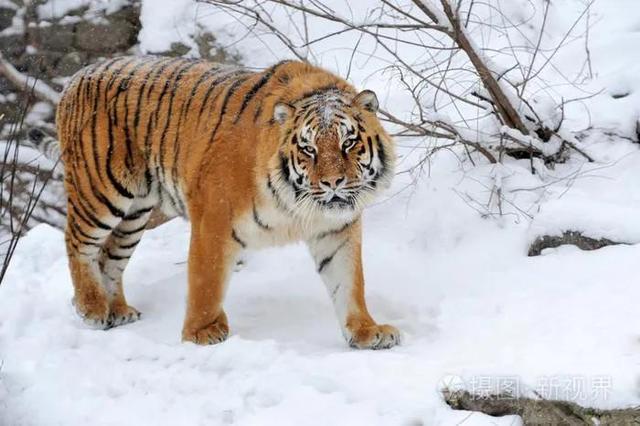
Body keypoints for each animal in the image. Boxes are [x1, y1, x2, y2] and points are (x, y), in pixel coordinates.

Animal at [45, 55, 398, 350]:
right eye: (308, 149)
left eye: (348, 143)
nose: (332, 183)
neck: (298, 205)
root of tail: (77, 76)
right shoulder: (213, 219)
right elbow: (206, 281)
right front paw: (201, 333)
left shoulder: (337, 231)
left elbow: (349, 282)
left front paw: (367, 331)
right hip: (101, 191)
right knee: (77, 242)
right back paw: (91, 308)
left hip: (135, 213)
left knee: (109, 256)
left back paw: (116, 310)